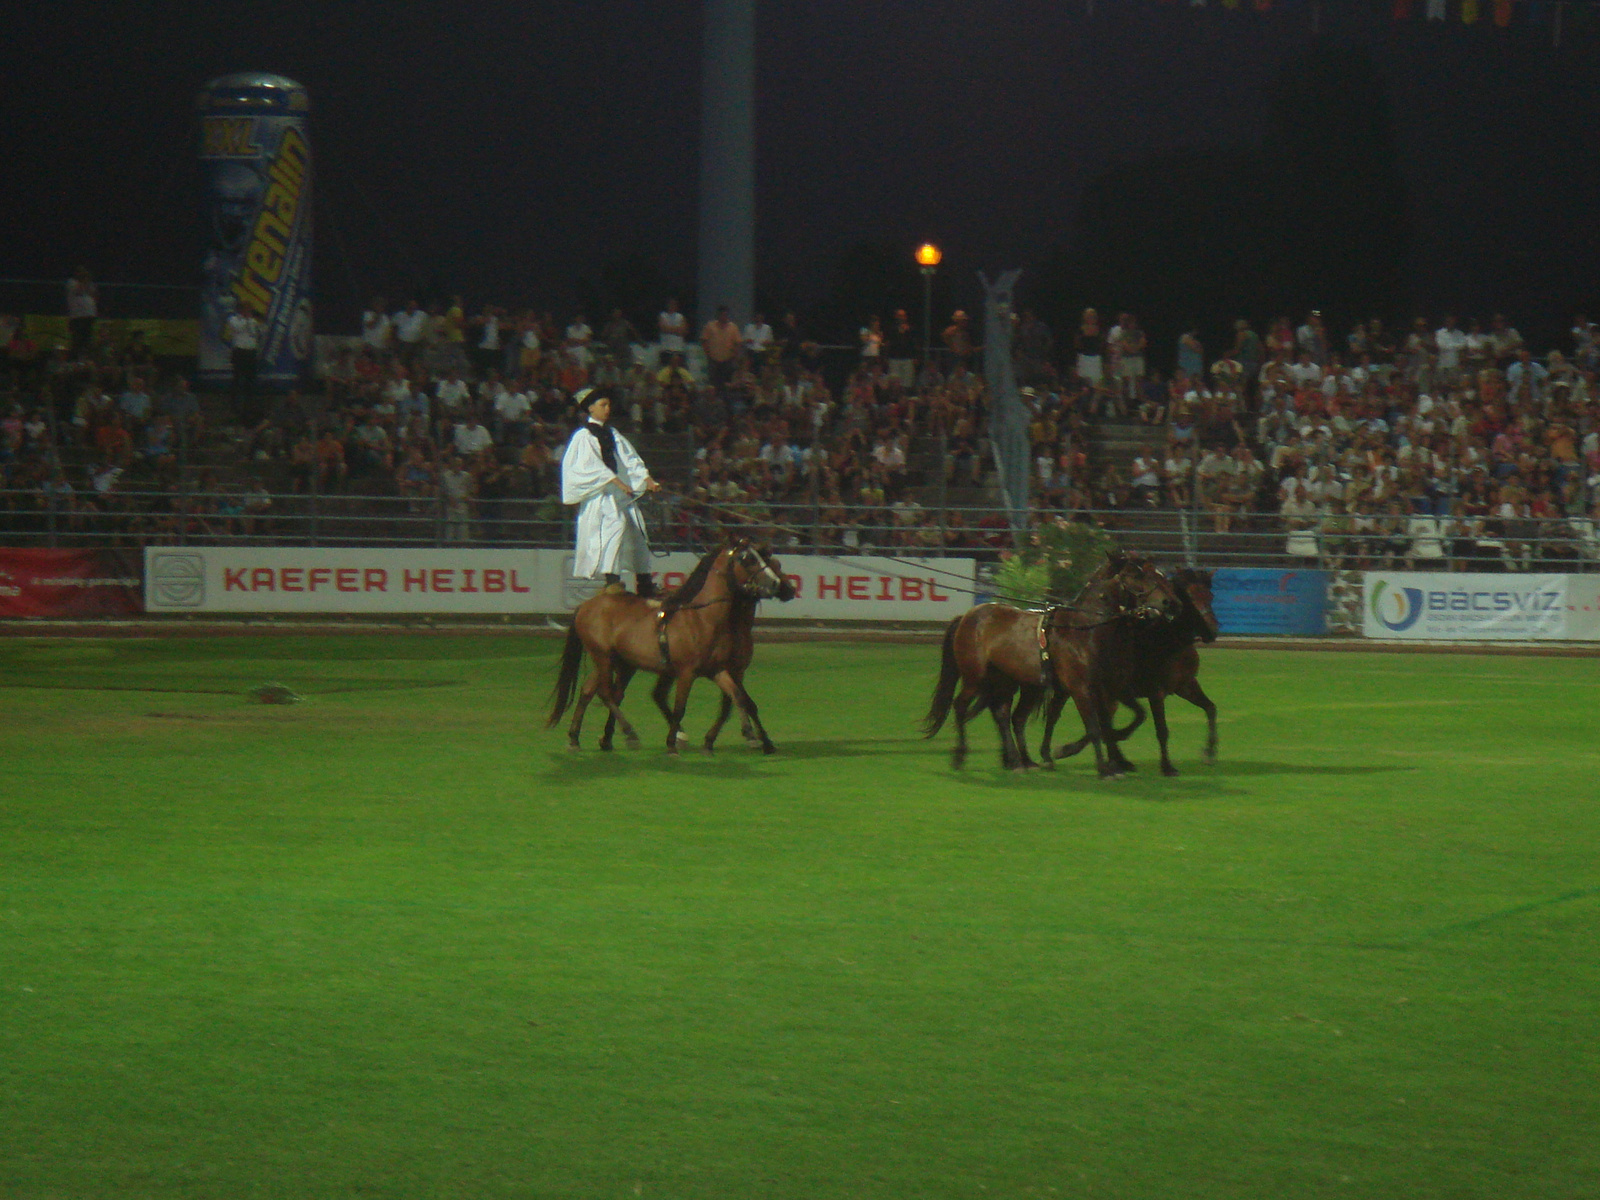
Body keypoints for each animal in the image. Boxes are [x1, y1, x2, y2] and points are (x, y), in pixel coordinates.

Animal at [550, 540, 800, 755]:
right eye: (747, 559)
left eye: (776, 564)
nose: (782, 586)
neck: (704, 618)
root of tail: (587, 604)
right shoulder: (687, 672)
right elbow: (682, 707)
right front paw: (673, 743)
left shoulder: (721, 669)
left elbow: (738, 698)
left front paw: (750, 736)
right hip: (603, 657)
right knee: (606, 693)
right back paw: (630, 734)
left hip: (618, 662)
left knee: (592, 691)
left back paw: (580, 738)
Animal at [928, 553, 1177, 780]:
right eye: (1135, 574)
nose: (1168, 602)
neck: (1084, 630)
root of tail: (968, 616)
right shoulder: (1080, 689)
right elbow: (1094, 727)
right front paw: (1101, 767)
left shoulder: (1105, 688)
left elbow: (1108, 724)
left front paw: (1114, 762)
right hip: (975, 677)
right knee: (961, 706)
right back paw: (961, 755)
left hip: (1010, 682)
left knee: (1007, 715)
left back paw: (1020, 761)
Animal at [1049, 569, 1222, 774]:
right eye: (1190, 597)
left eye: (1210, 596)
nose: (1212, 631)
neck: (1165, 642)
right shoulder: (1150, 692)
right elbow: (1158, 728)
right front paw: (1167, 766)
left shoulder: (1185, 686)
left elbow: (1210, 708)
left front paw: (1209, 752)